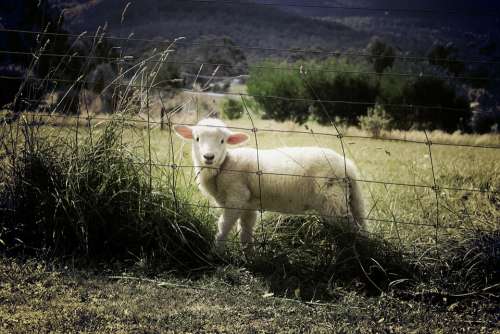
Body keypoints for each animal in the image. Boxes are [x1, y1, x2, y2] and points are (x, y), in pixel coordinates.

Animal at [174, 117, 366, 250]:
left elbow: (224, 228)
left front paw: (216, 253)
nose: (208, 157)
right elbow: (245, 232)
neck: (224, 166)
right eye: (197, 138)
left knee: (353, 229)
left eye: (223, 141)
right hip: (347, 199)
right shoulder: (248, 205)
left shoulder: (236, 198)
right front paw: (248, 257)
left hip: (333, 202)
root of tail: (348, 167)